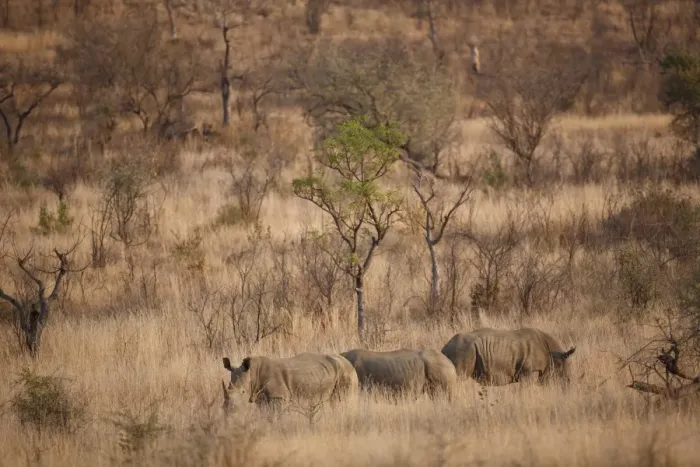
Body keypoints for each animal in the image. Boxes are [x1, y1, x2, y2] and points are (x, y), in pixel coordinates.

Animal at [222, 352, 358, 407]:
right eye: (228, 387)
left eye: (243, 392)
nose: (228, 408)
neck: (252, 372)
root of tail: (349, 363)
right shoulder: (261, 398)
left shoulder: (278, 397)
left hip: (345, 373)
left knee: (341, 401)